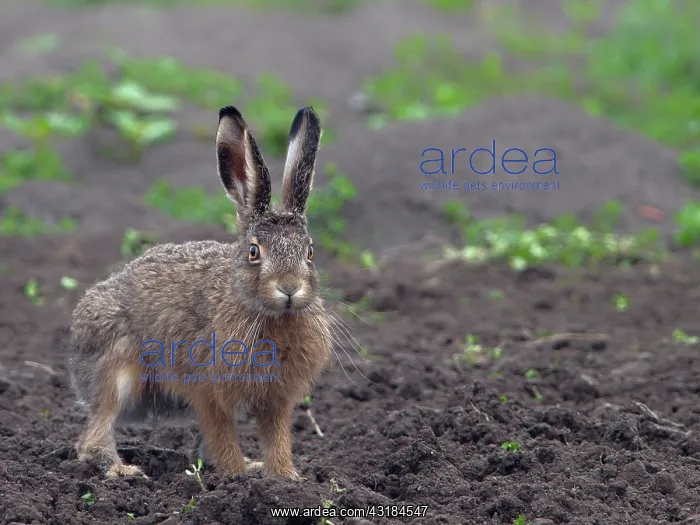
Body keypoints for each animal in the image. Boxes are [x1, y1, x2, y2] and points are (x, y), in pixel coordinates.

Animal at [68, 105, 333, 480]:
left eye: (309, 251)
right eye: (254, 252)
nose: (290, 288)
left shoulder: (276, 398)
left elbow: (277, 437)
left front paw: (284, 478)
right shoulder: (209, 391)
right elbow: (221, 433)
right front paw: (236, 476)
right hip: (117, 369)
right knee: (96, 429)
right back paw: (122, 471)